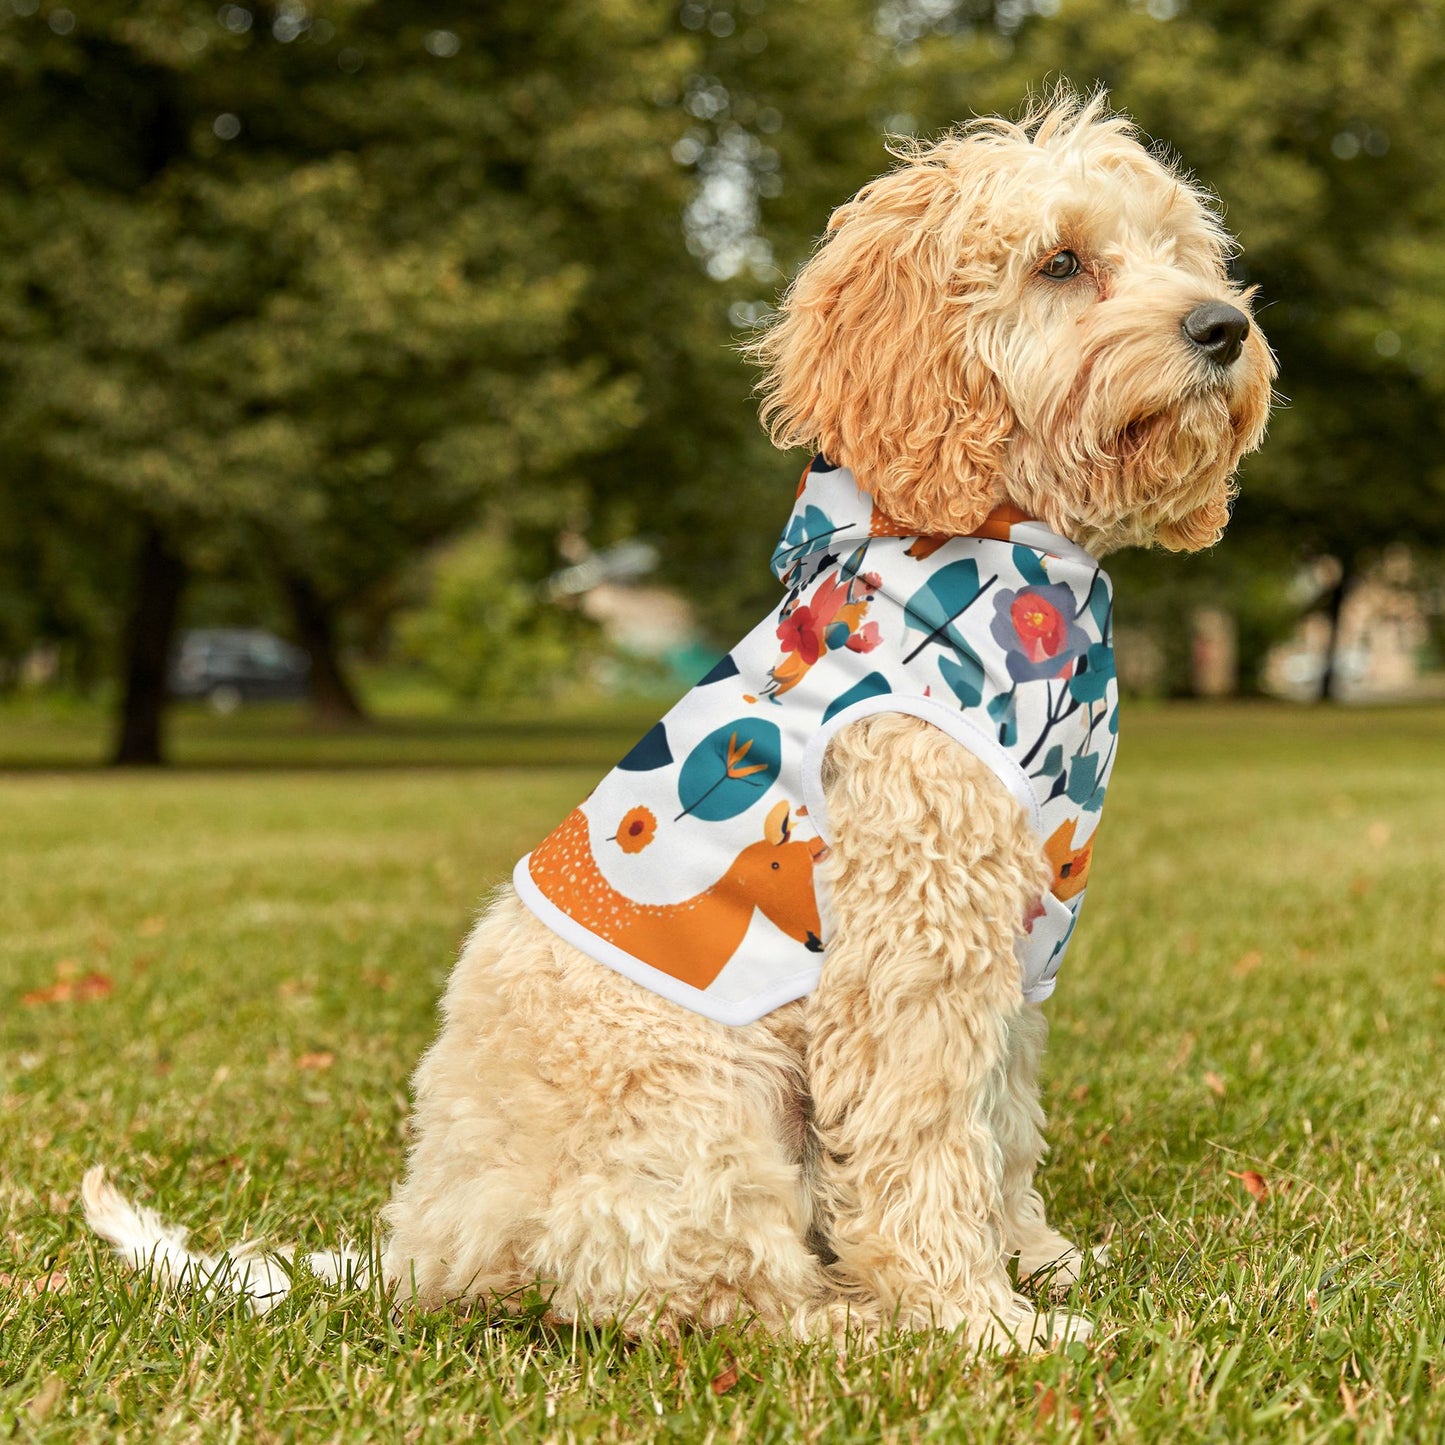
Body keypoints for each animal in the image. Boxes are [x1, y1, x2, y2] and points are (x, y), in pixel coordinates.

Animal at [84, 87, 1271, 1352]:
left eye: (1181, 253)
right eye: (1060, 262)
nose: (1221, 328)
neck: (1000, 563)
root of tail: (423, 1250)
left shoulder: (1015, 936)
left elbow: (998, 1123)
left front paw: (1036, 1260)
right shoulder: (911, 943)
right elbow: (923, 1140)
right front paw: (976, 1319)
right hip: (700, 1102)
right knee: (702, 1292)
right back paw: (853, 1322)